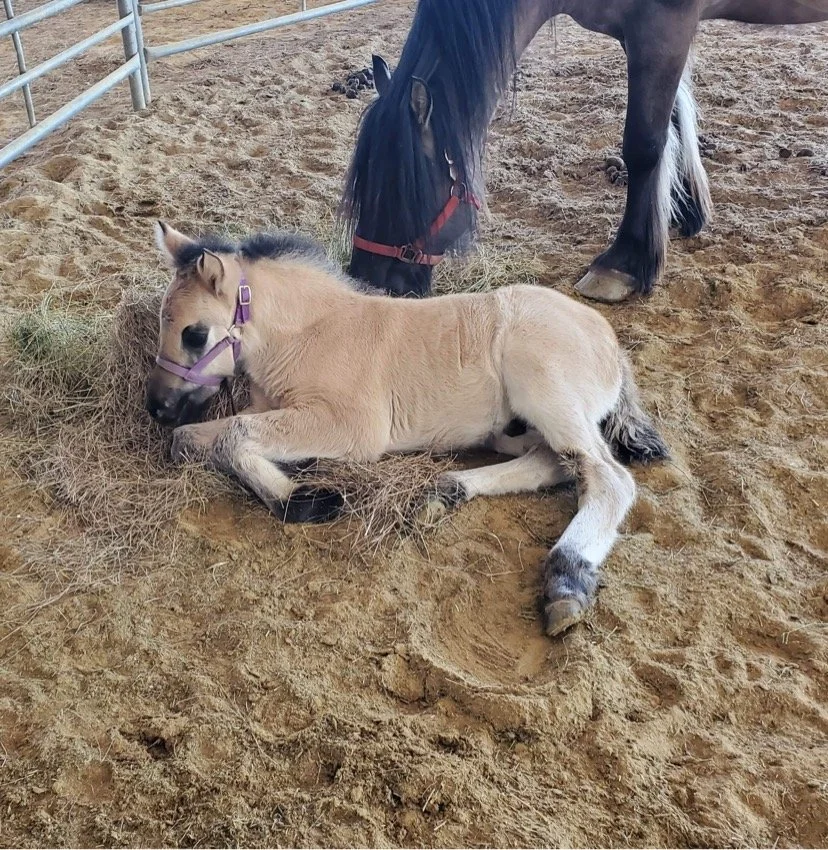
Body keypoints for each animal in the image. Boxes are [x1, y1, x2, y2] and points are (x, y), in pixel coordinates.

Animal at [145, 221, 668, 636]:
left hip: (545, 389)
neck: (309, 335)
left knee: (608, 477)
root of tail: (609, 341)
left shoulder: (354, 426)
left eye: (195, 333)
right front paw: (299, 492)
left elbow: (232, 436)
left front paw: (307, 500)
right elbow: (193, 441)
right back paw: (442, 494)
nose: (157, 407)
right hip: (522, 423)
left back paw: (566, 581)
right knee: (552, 462)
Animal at [341, 0, 828, 301]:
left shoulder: (663, 29)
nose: (369, 280)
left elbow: (644, 144)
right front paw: (683, 211)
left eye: (399, 187)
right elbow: (672, 123)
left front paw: (625, 263)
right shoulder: (644, 37)